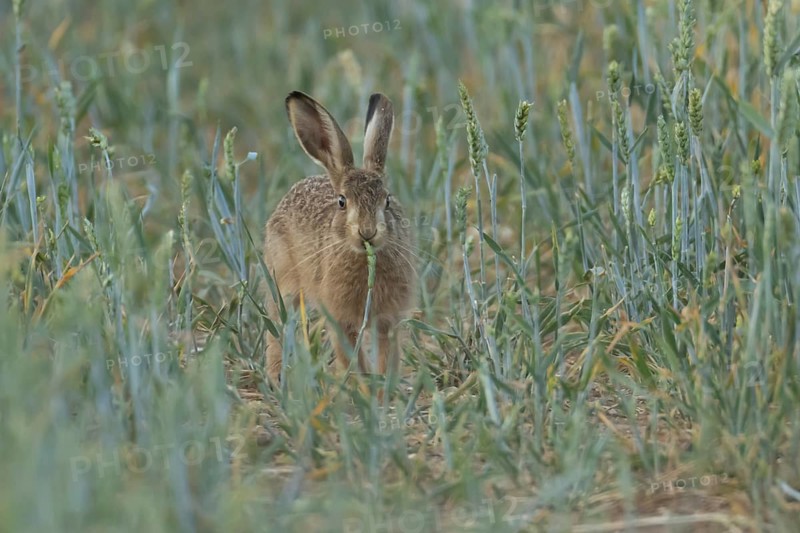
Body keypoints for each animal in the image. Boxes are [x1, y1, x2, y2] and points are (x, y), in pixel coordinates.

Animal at [264, 91, 416, 384]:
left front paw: (384, 386)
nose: (367, 232)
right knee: (278, 322)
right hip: (283, 280)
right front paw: (362, 385)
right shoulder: (339, 318)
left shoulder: (388, 319)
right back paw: (276, 375)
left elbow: (386, 355)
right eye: (342, 202)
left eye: (387, 200)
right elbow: (350, 356)